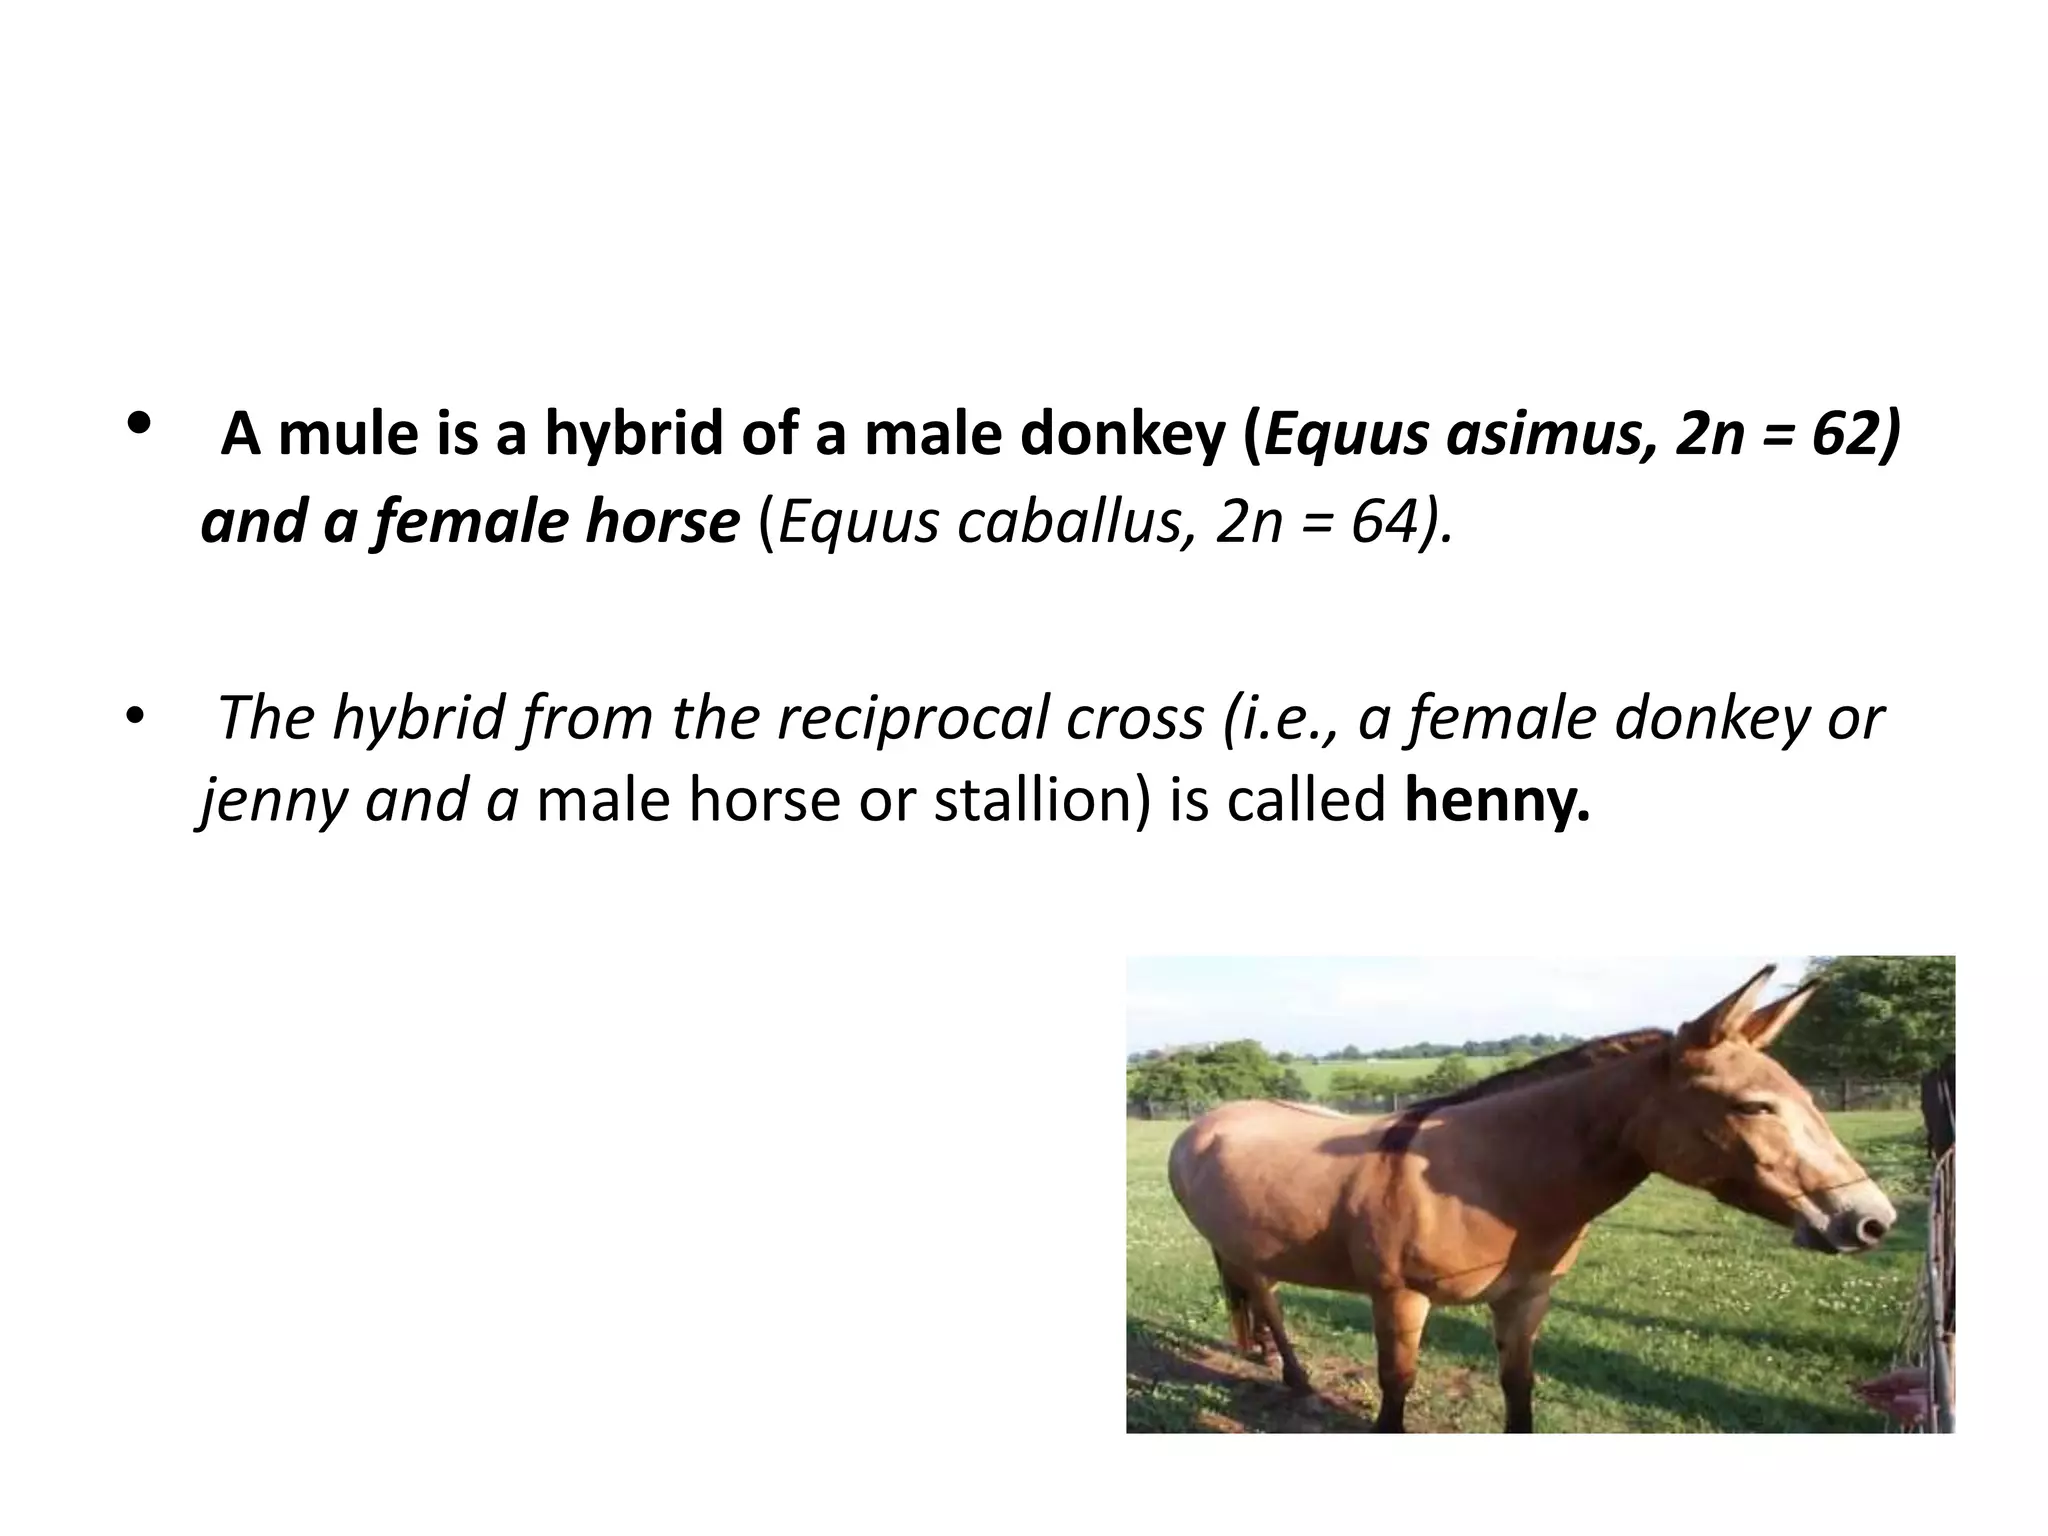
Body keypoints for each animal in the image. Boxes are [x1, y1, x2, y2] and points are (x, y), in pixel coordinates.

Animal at [1166, 965, 1898, 1432]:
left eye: (1807, 1097)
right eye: (1752, 1105)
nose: (1869, 1220)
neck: (1492, 1178)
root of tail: (1204, 1126)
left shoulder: (1525, 1300)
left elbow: (1519, 1391)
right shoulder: (1400, 1298)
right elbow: (1396, 1389)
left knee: (1262, 1302)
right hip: (1239, 1249)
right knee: (1267, 1302)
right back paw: (1295, 1380)